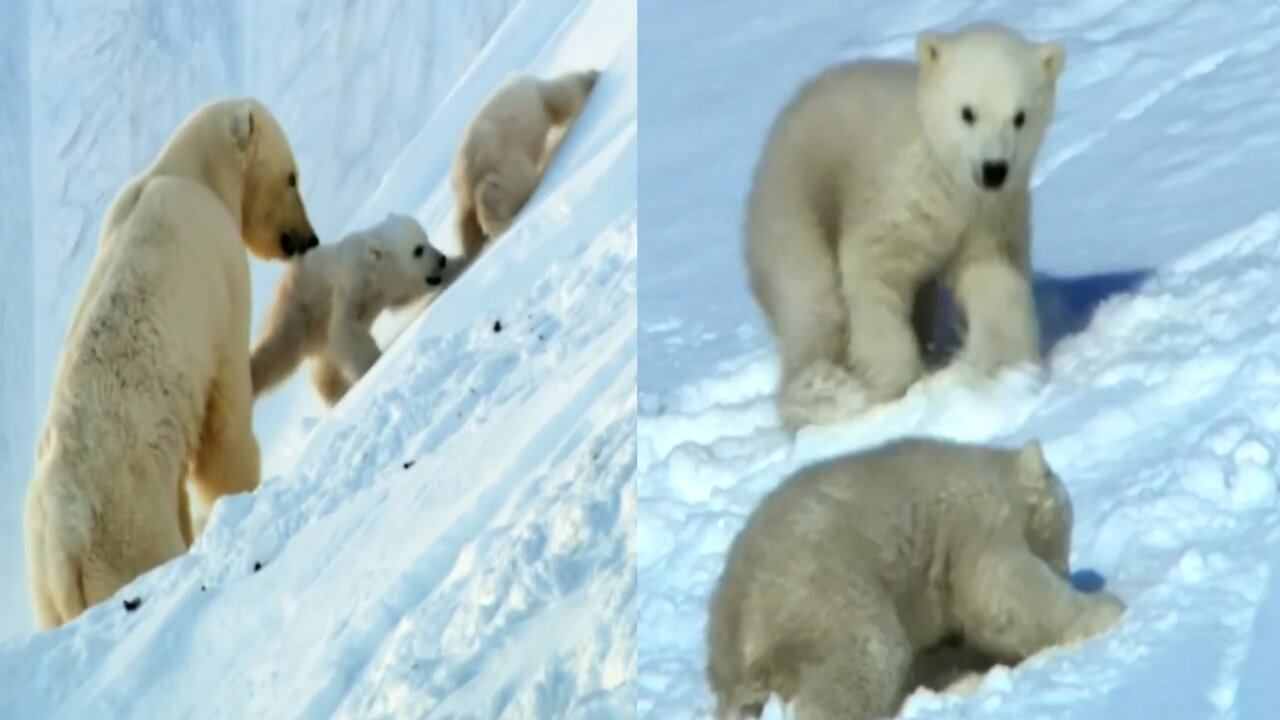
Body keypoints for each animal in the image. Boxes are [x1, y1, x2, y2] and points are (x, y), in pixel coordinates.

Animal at [25, 96, 320, 627]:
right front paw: (241, 490)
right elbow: (223, 421)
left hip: (43, 586)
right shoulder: (218, 268)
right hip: (123, 528)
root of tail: (62, 568)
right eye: (292, 176)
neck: (183, 174)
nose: (308, 239)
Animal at [747, 22, 1064, 427]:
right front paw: (891, 386)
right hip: (794, 209)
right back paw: (820, 394)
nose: (994, 169)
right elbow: (875, 274)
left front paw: (998, 371)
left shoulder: (987, 217)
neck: (945, 175)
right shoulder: (896, 198)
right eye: (968, 113)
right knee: (813, 304)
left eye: (1020, 116)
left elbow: (993, 279)